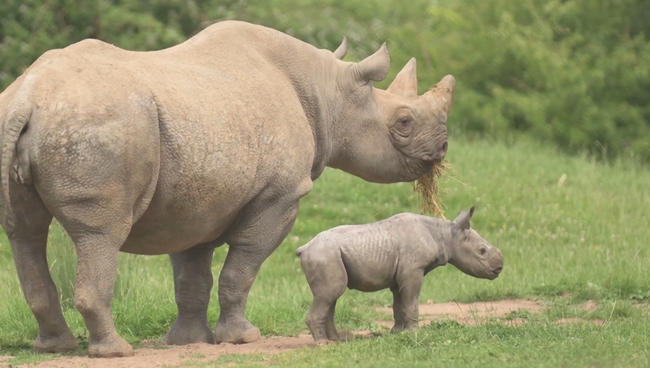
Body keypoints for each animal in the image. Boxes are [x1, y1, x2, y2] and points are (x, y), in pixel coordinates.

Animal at [1, 19, 456, 356]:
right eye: (404, 122)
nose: (443, 147)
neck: (329, 94)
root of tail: (27, 94)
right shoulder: (280, 196)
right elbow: (242, 268)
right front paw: (242, 339)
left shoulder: (193, 198)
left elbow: (192, 277)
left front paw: (188, 342)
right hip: (97, 126)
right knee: (99, 233)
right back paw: (115, 351)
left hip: (24, 119)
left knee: (25, 232)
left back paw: (54, 347)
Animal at [294, 207, 502, 342]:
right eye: (482, 251)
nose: (499, 268)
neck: (445, 235)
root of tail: (305, 248)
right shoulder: (414, 270)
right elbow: (412, 301)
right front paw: (414, 333)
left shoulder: (400, 275)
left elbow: (399, 303)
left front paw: (397, 332)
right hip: (324, 255)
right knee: (330, 294)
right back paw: (322, 344)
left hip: (326, 255)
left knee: (330, 296)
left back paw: (337, 340)